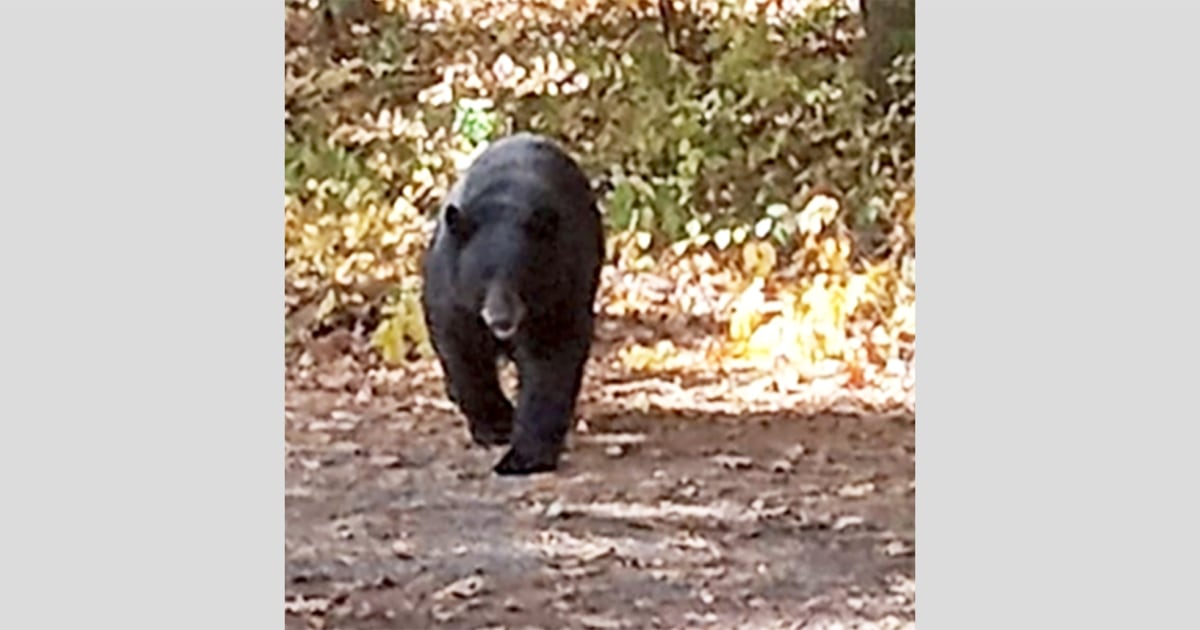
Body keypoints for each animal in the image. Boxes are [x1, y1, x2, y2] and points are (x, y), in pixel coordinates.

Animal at [424, 133, 609, 477]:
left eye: (522, 274)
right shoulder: (453, 293)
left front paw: (524, 456)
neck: (506, 206)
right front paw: (494, 424)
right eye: (482, 275)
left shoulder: (559, 290)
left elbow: (551, 360)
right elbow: (463, 351)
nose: (501, 319)